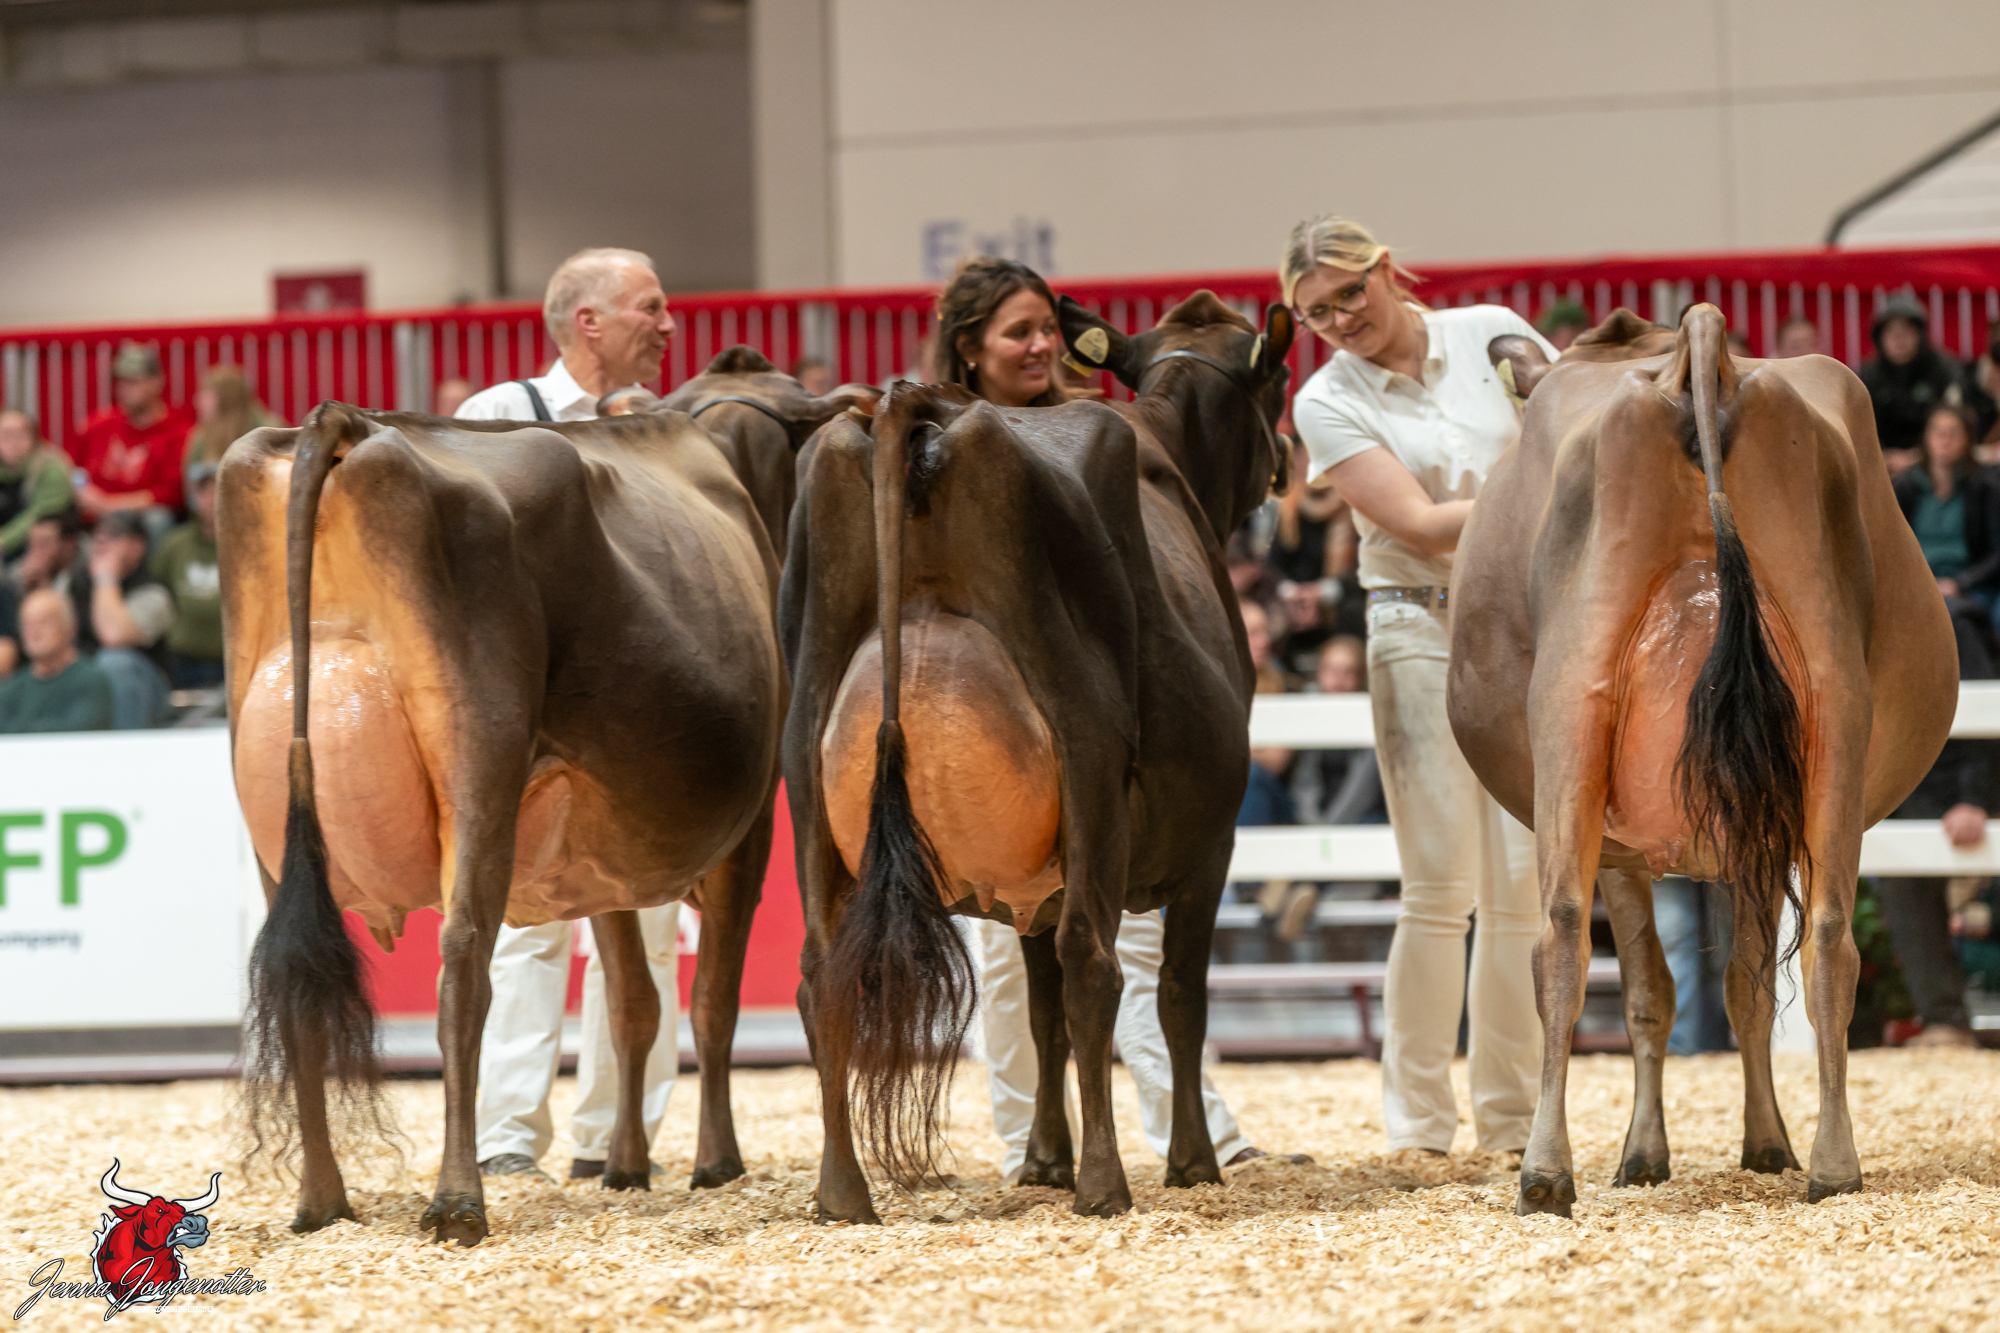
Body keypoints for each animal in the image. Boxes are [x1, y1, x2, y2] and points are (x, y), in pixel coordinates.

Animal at [220, 377, 844, 1246]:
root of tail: (346, 424)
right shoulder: (749, 830)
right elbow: (711, 1000)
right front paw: (716, 1162)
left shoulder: (604, 856)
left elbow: (631, 1006)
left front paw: (626, 1166)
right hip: (479, 759)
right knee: (462, 965)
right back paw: (457, 1200)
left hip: (271, 807)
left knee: (296, 976)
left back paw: (322, 1199)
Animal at [781, 291, 1293, 1221]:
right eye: (1273, 381)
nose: (1289, 460)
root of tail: (928, 409)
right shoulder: (1213, 843)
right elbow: (1178, 997)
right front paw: (1189, 1161)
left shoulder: (1030, 883)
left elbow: (1043, 1012)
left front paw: (1045, 1158)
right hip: (1087, 759)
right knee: (1097, 965)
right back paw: (1106, 1182)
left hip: (804, 768)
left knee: (820, 974)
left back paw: (842, 1191)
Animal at [1450, 303, 1956, 1216]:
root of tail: (1694, 358)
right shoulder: (1755, 826)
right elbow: (1744, 984)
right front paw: (1766, 1142)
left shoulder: (1624, 847)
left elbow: (1655, 990)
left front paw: (1651, 1149)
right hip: (1833, 714)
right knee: (1831, 939)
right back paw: (1834, 1164)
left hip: (1571, 713)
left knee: (1561, 936)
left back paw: (1545, 1171)